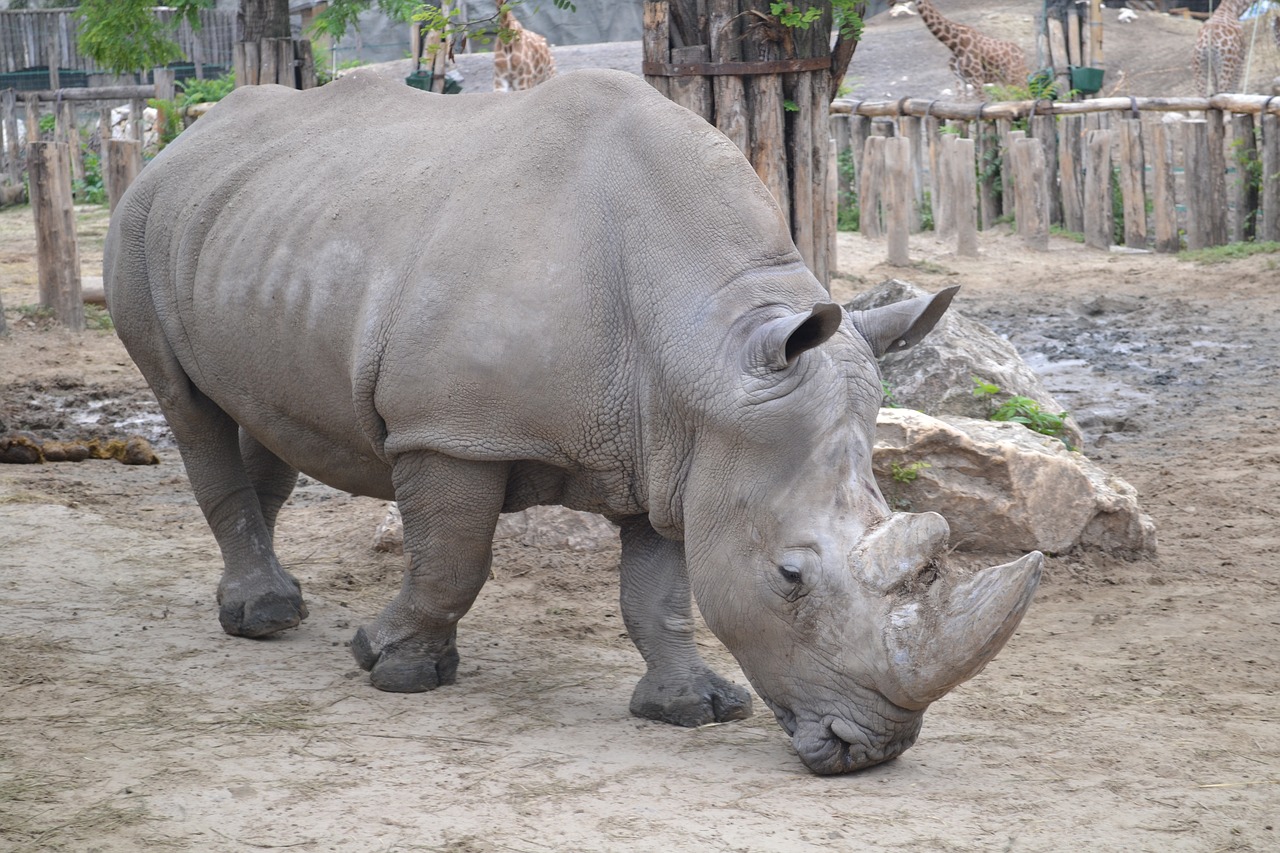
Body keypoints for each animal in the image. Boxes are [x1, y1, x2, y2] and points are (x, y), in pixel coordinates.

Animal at [890, 0, 1029, 93]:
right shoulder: (960, 81)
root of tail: (1022, 54)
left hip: (1015, 77)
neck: (953, 44)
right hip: (1004, 80)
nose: (890, 3)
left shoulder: (976, 80)